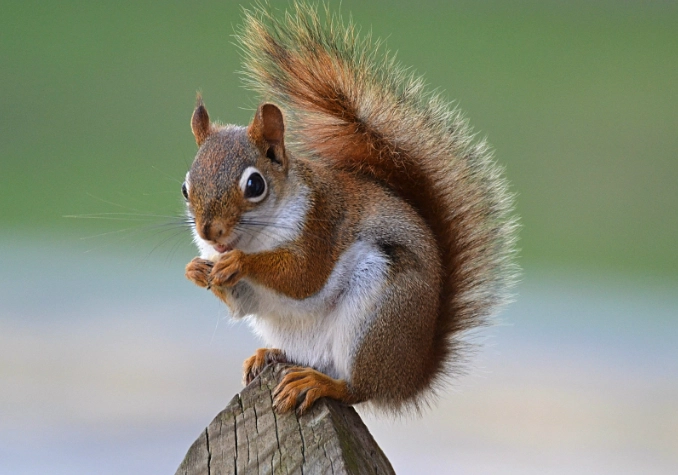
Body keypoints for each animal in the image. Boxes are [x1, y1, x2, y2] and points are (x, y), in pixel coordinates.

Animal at [183, 3, 518, 415]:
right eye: (185, 188)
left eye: (254, 185)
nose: (208, 232)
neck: (256, 236)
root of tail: (411, 376)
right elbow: (241, 304)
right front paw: (197, 269)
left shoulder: (321, 224)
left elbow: (302, 276)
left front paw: (239, 263)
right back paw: (269, 355)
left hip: (378, 316)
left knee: (358, 388)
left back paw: (320, 383)